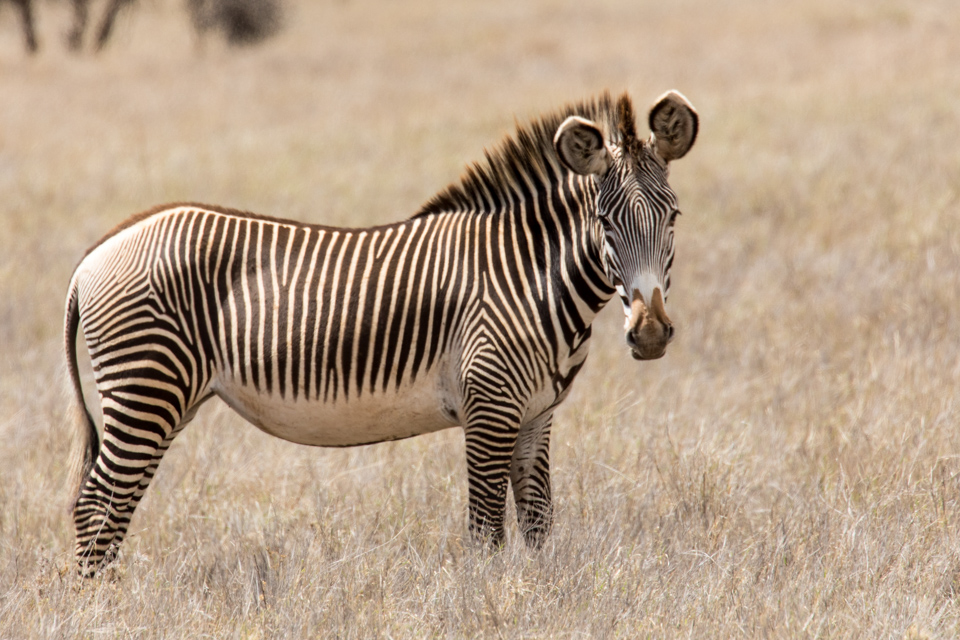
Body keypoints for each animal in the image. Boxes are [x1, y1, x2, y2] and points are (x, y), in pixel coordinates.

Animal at [64, 90, 698, 576]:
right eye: (605, 222)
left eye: (673, 217)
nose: (649, 334)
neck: (527, 277)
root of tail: (95, 255)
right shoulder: (489, 408)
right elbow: (486, 531)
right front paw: (488, 602)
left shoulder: (536, 415)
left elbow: (538, 523)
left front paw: (540, 598)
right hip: (147, 389)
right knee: (96, 506)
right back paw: (101, 610)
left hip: (166, 397)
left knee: (109, 507)